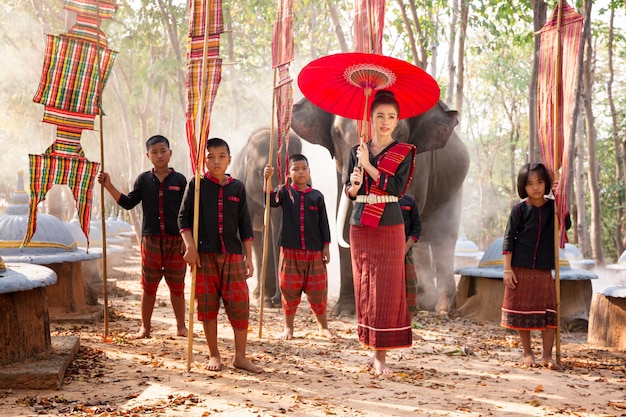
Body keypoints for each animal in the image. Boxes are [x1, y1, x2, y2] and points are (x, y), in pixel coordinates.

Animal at [290, 96, 466, 312]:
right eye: (337, 134)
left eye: (399, 133)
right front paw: (345, 310)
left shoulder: (419, 163)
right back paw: (426, 303)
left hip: (455, 187)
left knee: (443, 236)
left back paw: (441, 309)